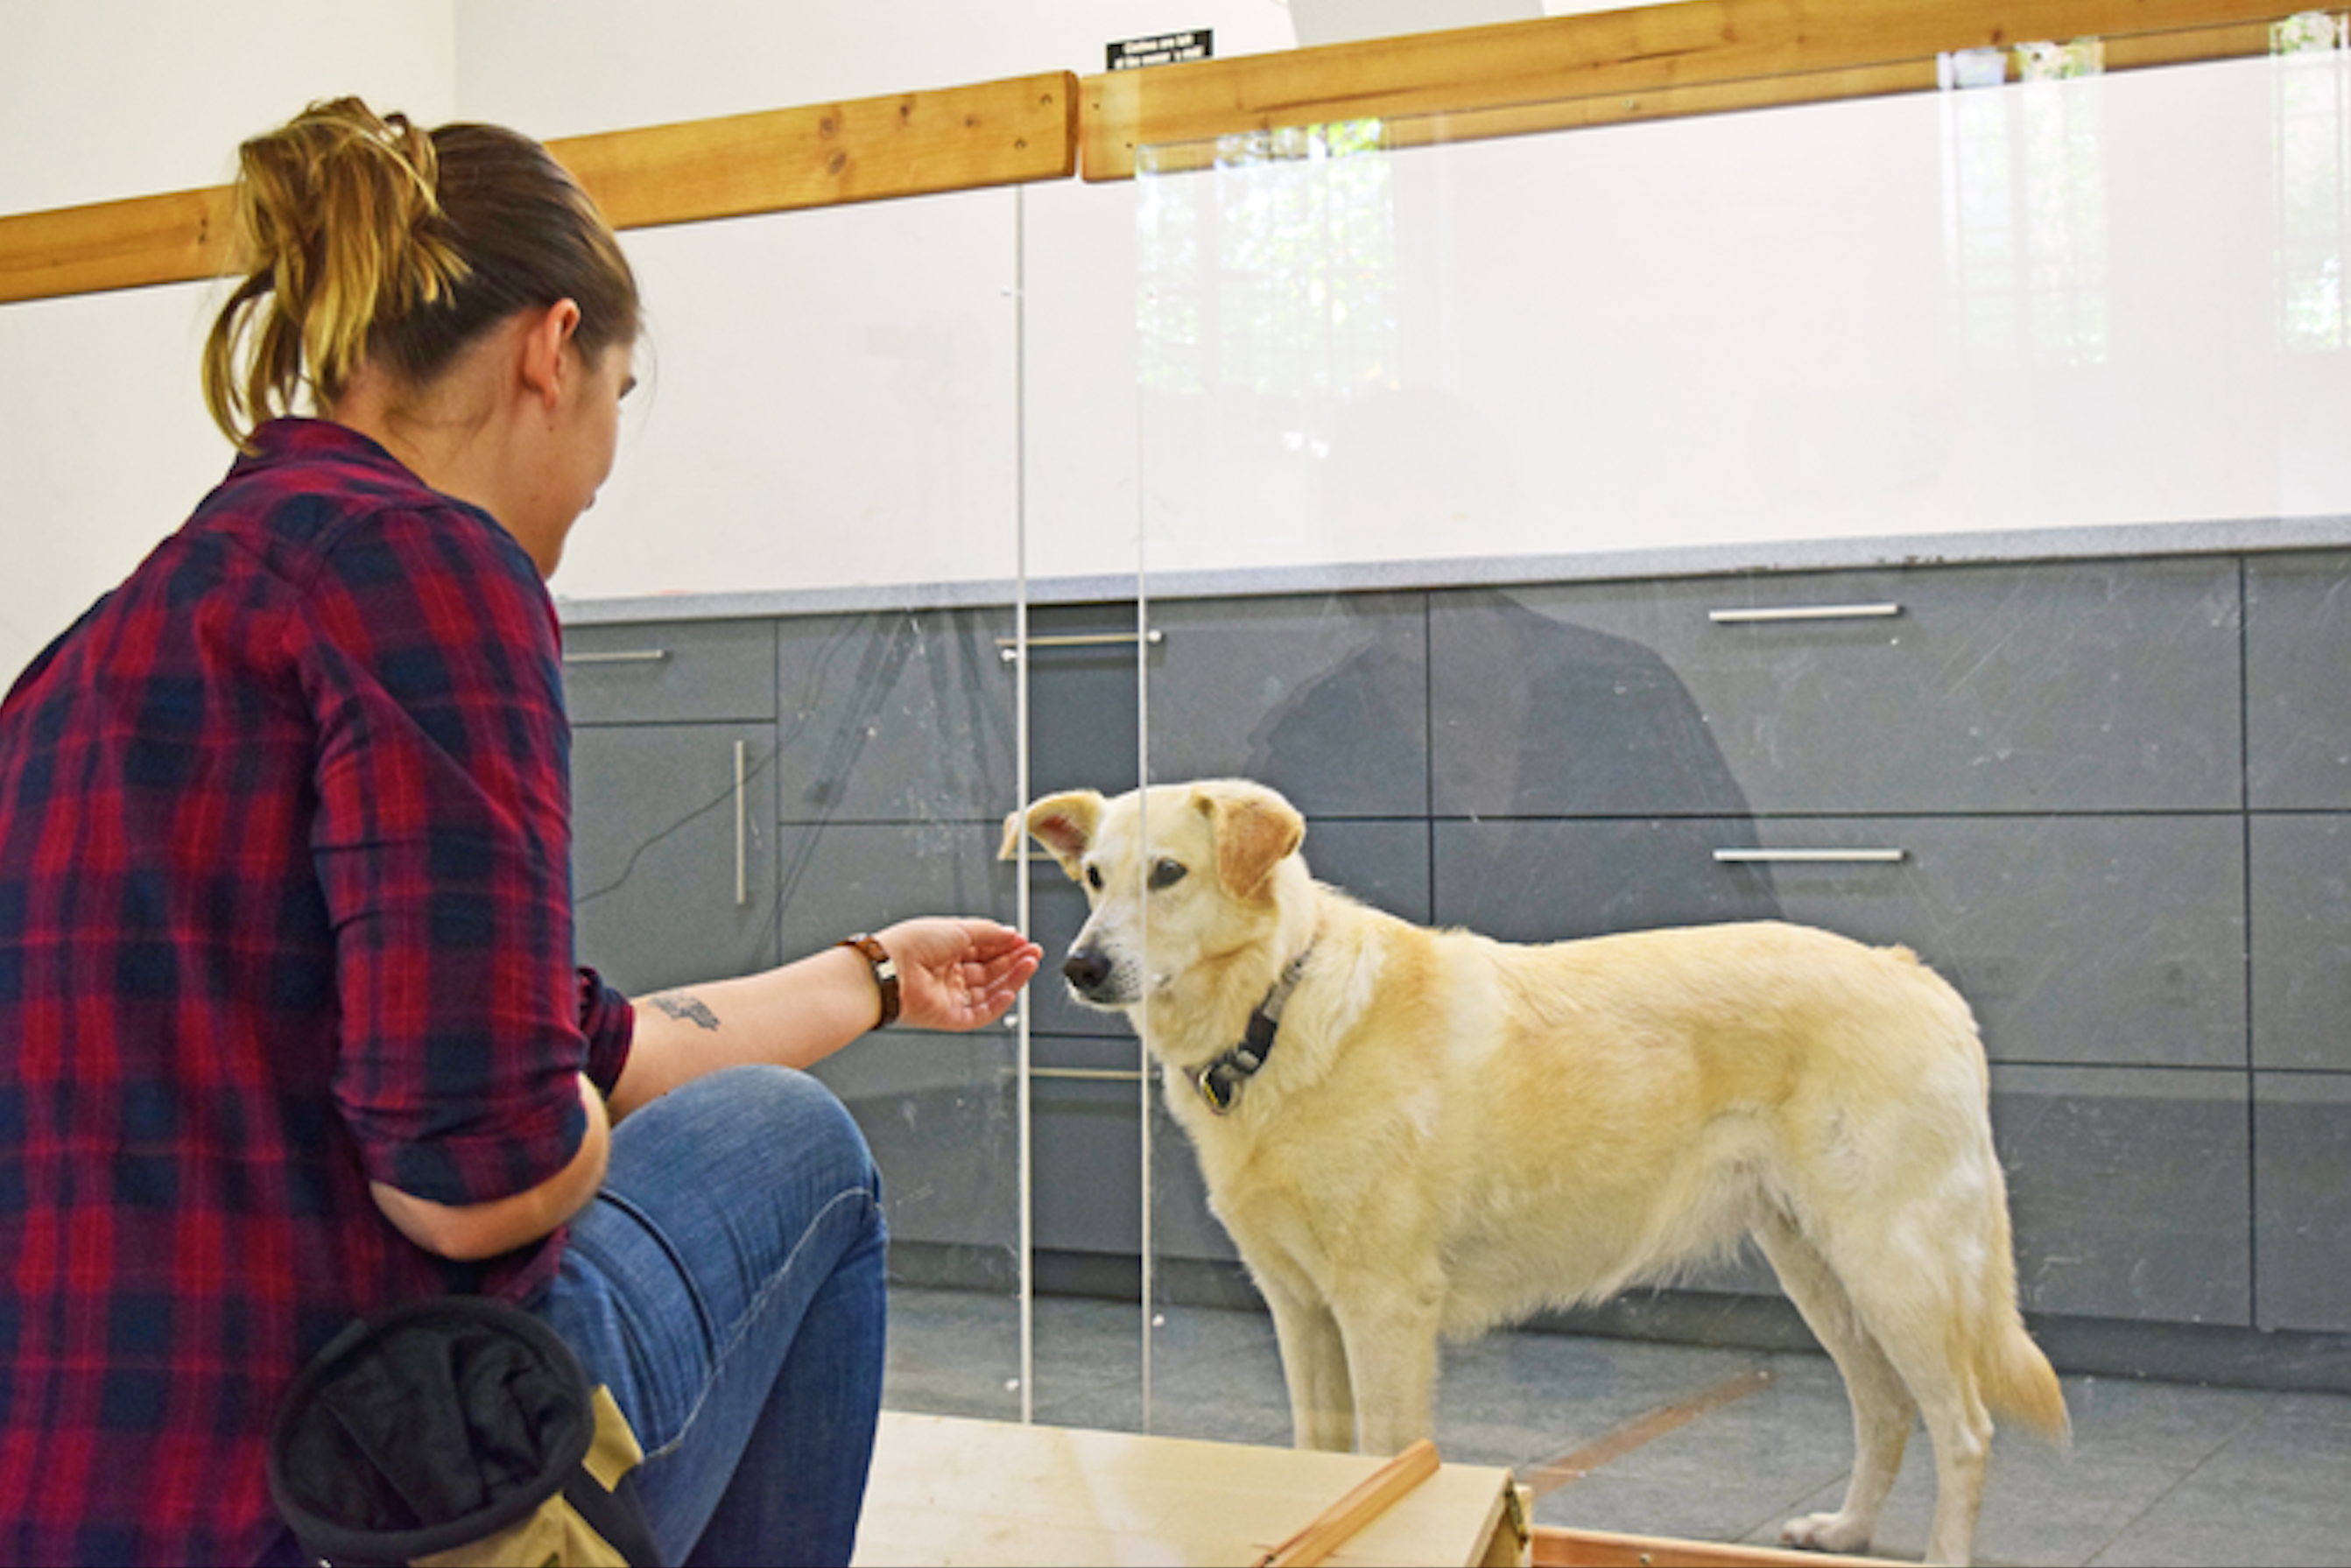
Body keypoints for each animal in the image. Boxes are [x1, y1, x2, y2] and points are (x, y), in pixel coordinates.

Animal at [1001, 780, 2068, 1560]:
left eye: (1168, 874)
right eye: (1092, 877)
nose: (1079, 967)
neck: (1278, 1006)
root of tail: (1911, 972)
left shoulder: (1384, 1312)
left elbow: (1385, 1457)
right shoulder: (1300, 1310)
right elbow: (1323, 1460)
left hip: (1897, 1269)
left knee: (1964, 1430)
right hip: (1819, 1268)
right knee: (1887, 1408)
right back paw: (1845, 1531)